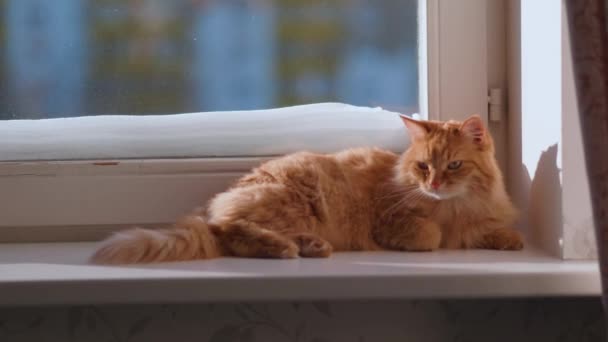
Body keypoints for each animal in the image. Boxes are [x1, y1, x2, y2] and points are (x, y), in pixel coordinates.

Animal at [91, 115, 524, 264]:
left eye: (453, 166)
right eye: (423, 166)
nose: (433, 183)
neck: (453, 207)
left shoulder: (474, 220)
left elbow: (487, 230)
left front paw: (511, 240)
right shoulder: (394, 222)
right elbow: (431, 236)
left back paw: (309, 247)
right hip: (291, 202)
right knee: (232, 231)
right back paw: (285, 249)